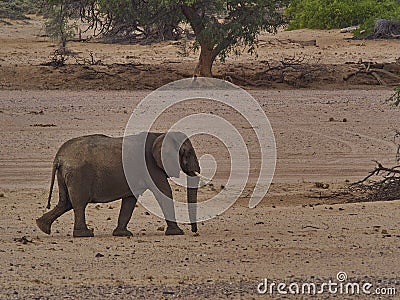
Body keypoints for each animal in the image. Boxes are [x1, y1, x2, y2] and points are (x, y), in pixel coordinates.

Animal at [36, 132, 200, 238]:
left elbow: (130, 199)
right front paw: (177, 233)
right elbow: (164, 193)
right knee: (79, 203)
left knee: (65, 202)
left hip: (65, 175)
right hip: (78, 175)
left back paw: (42, 227)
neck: (162, 134)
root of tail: (58, 158)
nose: (194, 231)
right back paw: (85, 234)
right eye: (188, 152)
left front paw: (122, 234)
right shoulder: (151, 167)